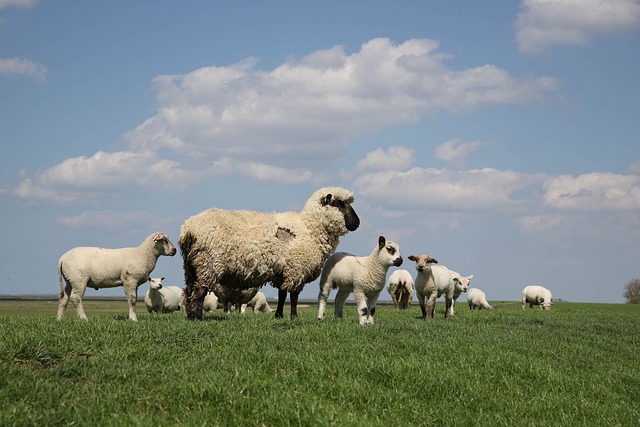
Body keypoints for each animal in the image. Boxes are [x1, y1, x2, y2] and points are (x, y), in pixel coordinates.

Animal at [180, 186, 360, 320]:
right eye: (339, 203)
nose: (357, 223)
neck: (309, 228)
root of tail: (188, 228)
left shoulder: (284, 271)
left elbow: (281, 295)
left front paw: (279, 315)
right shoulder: (296, 269)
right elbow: (294, 296)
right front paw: (294, 317)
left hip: (191, 265)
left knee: (189, 290)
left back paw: (190, 316)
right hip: (208, 262)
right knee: (199, 291)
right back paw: (197, 318)